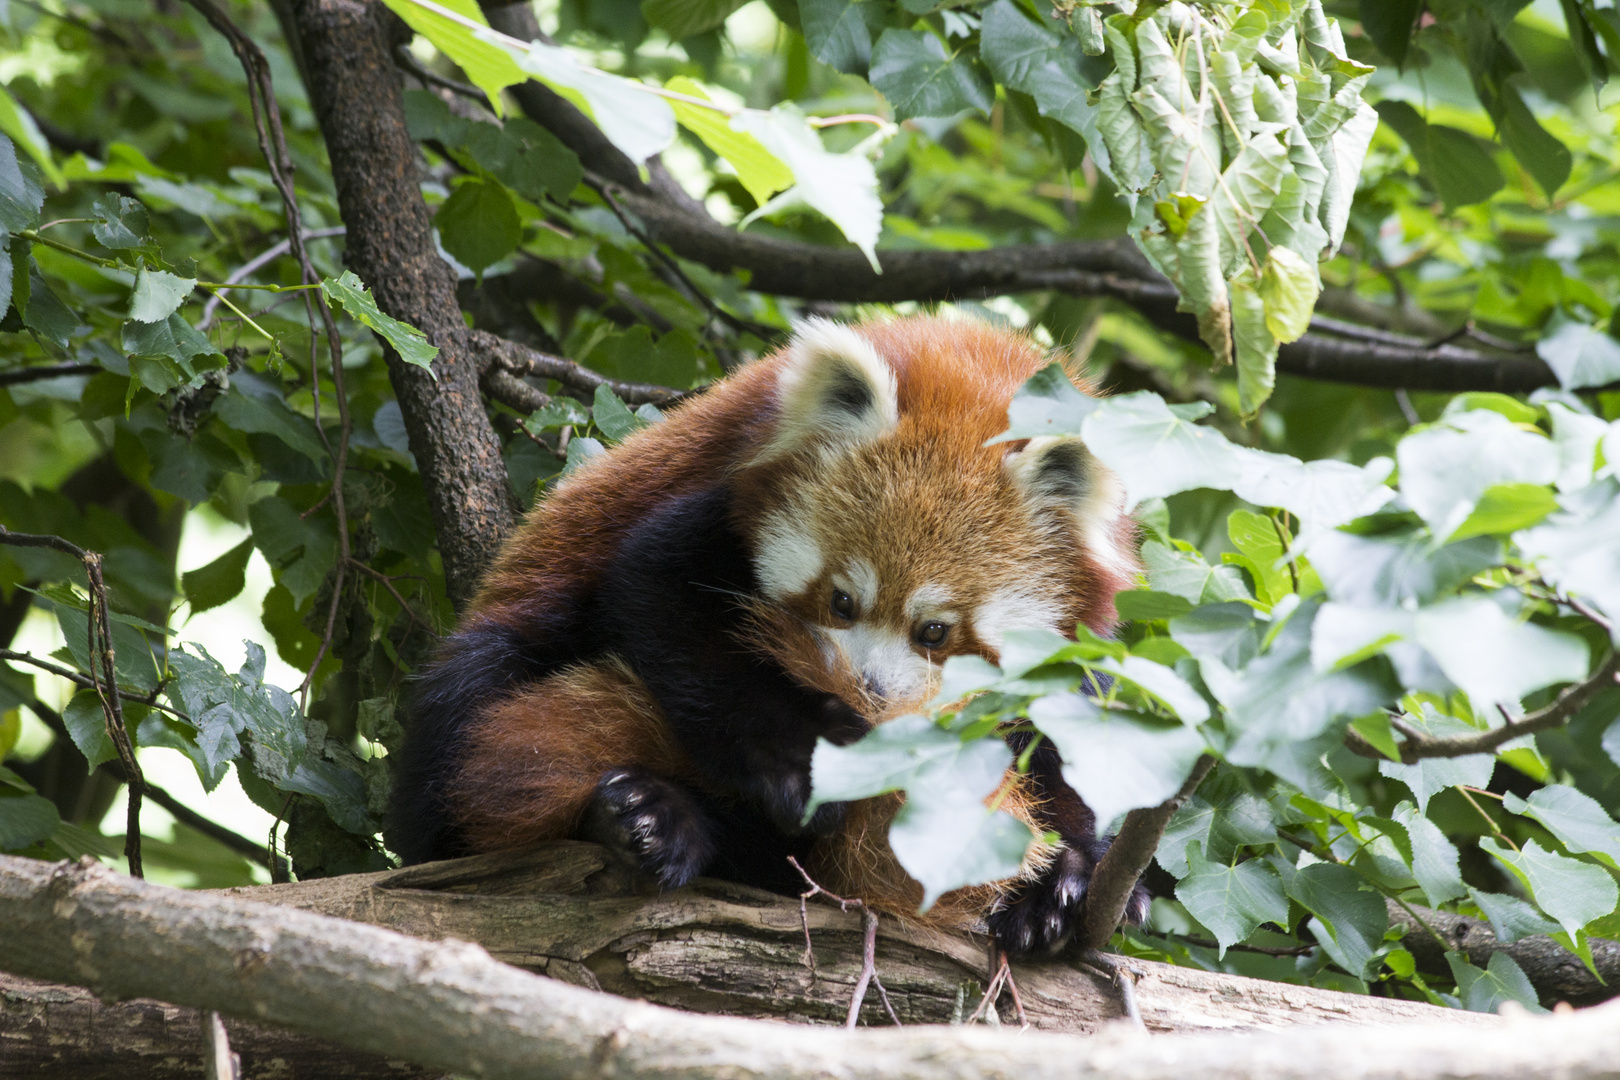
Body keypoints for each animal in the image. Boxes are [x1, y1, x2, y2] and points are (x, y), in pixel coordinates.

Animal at [382, 314, 1140, 952]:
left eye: (934, 631)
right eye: (841, 601)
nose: (868, 691)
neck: (974, 374)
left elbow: (1069, 740)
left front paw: (1068, 878)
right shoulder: (720, 501)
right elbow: (657, 593)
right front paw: (800, 765)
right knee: (468, 707)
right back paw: (643, 819)